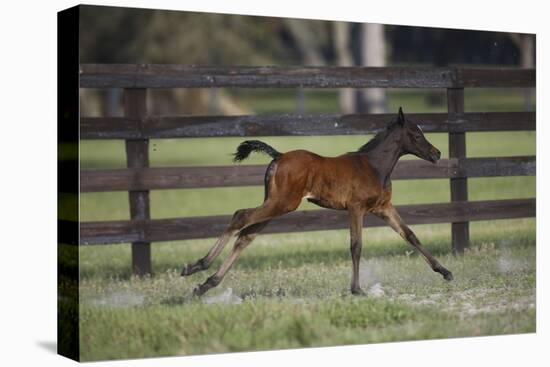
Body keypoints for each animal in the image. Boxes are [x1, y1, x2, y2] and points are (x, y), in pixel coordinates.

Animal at [183, 107, 454, 296]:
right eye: (416, 135)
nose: (437, 153)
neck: (374, 167)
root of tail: (279, 156)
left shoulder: (383, 208)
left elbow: (410, 235)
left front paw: (445, 272)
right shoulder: (356, 208)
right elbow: (356, 245)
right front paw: (356, 289)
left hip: (276, 205)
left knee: (246, 236)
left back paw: (206, 284)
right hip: (283, 203)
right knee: (241, 216)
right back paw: (197, 266)